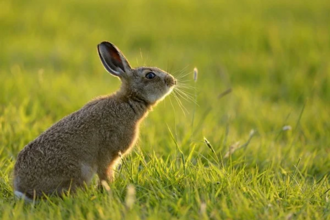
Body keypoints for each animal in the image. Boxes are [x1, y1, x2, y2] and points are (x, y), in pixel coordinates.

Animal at [13, 41, 177, 201]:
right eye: (150, 75)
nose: (173, 81)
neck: (129, 100)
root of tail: (22, 189)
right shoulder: (108, 152)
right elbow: (105, 174)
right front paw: (108, 191)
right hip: (78, 171)